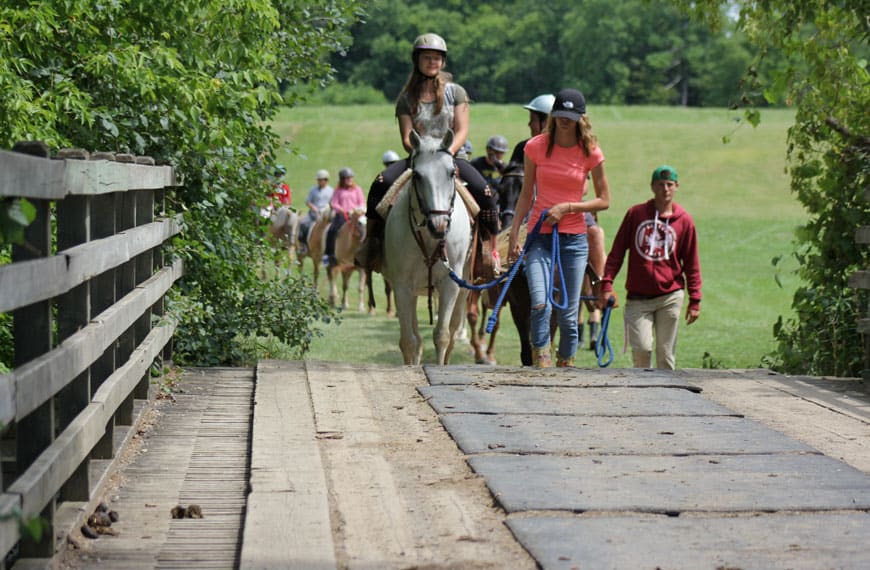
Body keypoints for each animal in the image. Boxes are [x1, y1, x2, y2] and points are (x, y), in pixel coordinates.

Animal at [384, 130, 474, 364]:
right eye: (417, 175)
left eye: (452, 173)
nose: (439, 225)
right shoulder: (402, 285)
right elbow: (409, 341)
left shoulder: (450, 284)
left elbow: (442, 336)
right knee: (415, 338)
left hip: (464, 286)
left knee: (453, 332)